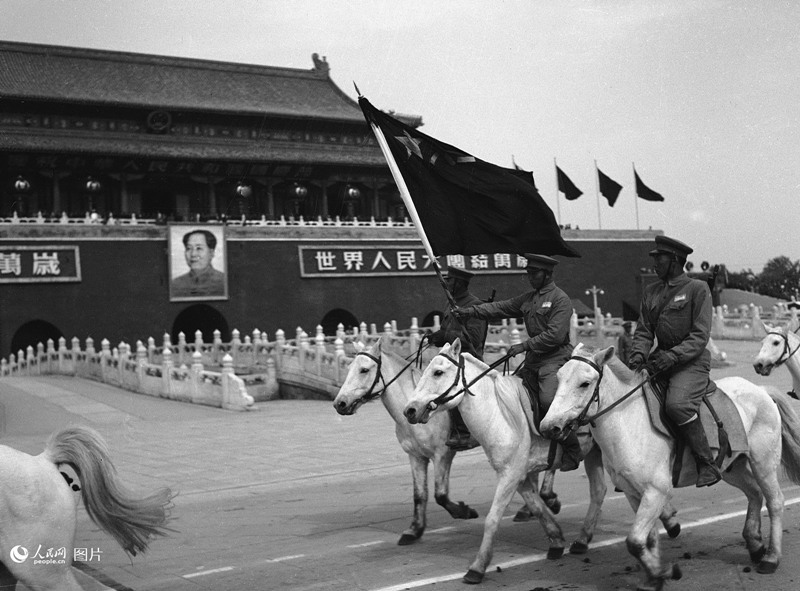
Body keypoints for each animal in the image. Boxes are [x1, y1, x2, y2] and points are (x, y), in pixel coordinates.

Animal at [406, 340, 676, 584]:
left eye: (438, 372)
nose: (410, 410)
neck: (500, 414)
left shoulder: (510, 474)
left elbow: (492, 518)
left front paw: (477, 567)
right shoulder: (521, 476)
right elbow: (537, 507)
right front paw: (556, 540)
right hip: (595, 455)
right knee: (599, 491)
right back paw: (586, 538)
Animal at [536, 344, 800, 588]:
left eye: (585, 383)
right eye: (559, 377)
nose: (549, 427)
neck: (629, 421)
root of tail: (761, 390)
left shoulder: (656, 492)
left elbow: (634, 541)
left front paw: (661, 572)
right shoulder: (635, 493)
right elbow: (647, 540)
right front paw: (655, 576)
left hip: (763, 463)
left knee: (775, 502)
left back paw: (771, 558)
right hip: (731, 468)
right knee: (754, 494)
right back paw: (755, 545)